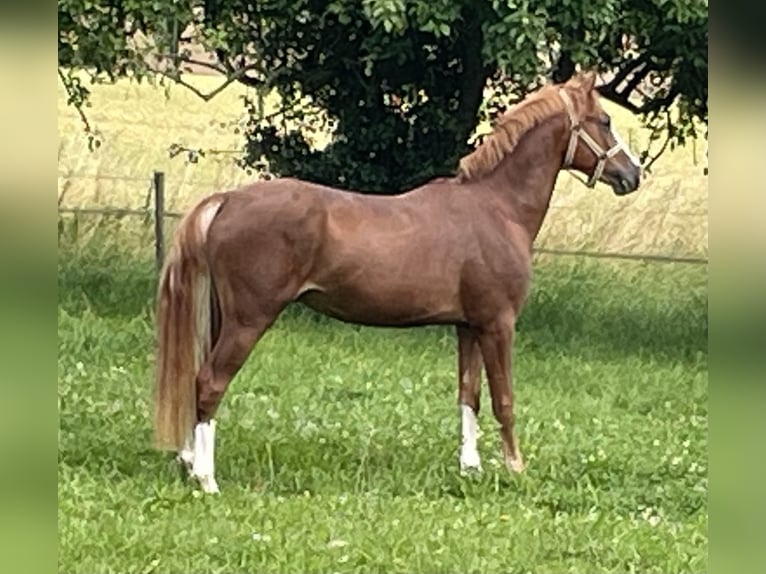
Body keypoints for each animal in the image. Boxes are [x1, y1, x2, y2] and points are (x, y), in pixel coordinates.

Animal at [154, 72, 640, 496]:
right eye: (604, 121)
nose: (632, 175)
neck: (497, 208)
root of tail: (227, 200)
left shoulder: (469, 326)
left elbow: (469, 394)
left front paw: (471, 468)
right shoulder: (498, 324)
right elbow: (504, 399)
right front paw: (515, 468)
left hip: (222, 317)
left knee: (197, 380)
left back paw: (190, 463)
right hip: (249, 320)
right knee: (210, 382)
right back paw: (208, 480)